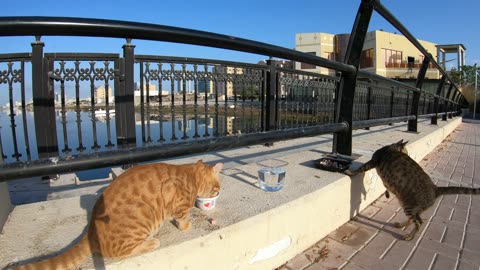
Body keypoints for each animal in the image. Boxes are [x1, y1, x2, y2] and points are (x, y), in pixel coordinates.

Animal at [9, 160, 223, 270]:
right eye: (217, 187)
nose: (219, 191)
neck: (190, 174)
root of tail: (90, 231)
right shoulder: (179, 204)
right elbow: (182, 217)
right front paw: (186, 226)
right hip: (142, 216)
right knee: (123, 252)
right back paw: (152, 242)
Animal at [346, 140, 478, 239]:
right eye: (406, 151)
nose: (408, 155)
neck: (391, 148)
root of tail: (435, 189)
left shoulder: (373, 161)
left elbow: (360, 169)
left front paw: (349, 172)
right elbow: (385, 187)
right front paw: (386, 193)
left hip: (410, 207)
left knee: (419, 222)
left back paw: (409, 236)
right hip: (409, 206)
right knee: (413, 220)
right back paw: (401, 225)